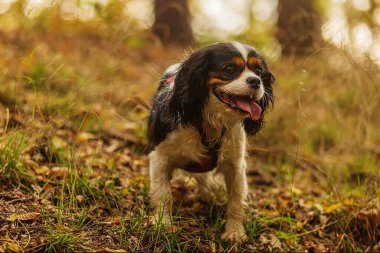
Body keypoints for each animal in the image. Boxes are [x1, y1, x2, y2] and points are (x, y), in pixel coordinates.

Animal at [147, 41, 274, 241]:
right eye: (229, 69)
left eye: (259, 71)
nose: (255, 81)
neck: (210, 123)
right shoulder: (160, 157)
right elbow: (163, 193)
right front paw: (163, 223)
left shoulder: (235, 165)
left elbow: (236, 200)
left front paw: (235, 232)